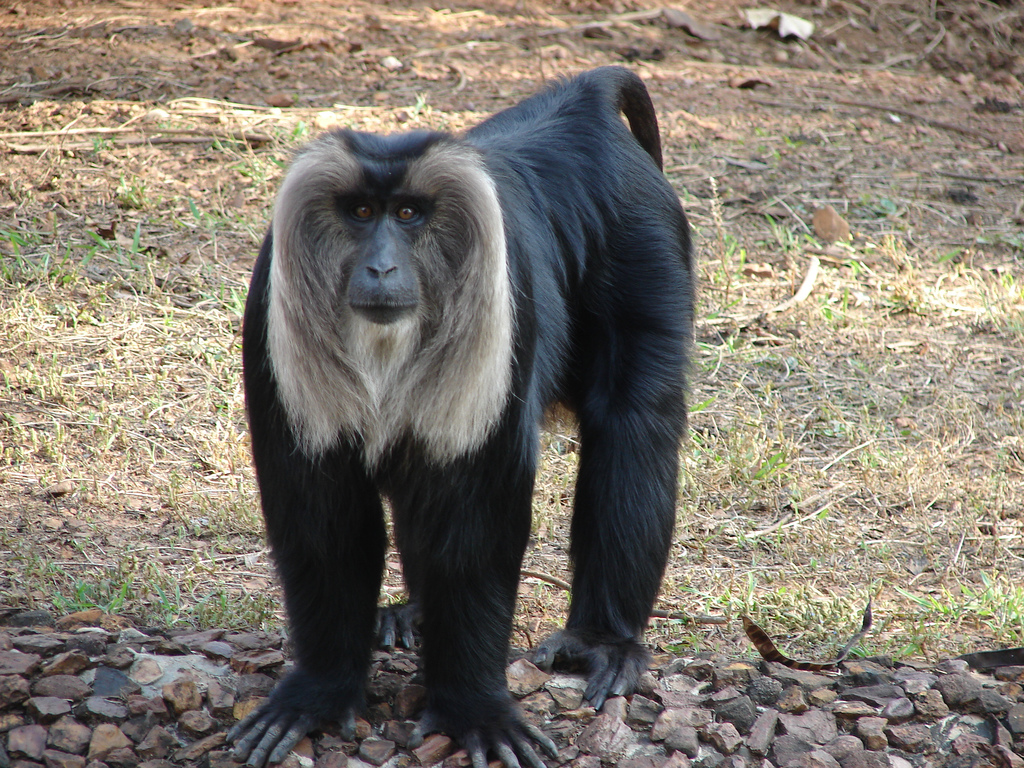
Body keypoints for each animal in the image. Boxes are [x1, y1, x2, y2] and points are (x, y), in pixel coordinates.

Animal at [232, 66, 696, 768]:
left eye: (408, 214)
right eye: (361, 213)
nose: (382, 266)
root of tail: (585, 101)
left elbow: (476, 527)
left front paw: (473, 709)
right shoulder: (271, 311)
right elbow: (322, 521)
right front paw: (319, 691)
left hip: (645, 235)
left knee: (635, 424)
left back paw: (603, 640)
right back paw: (416, 613)